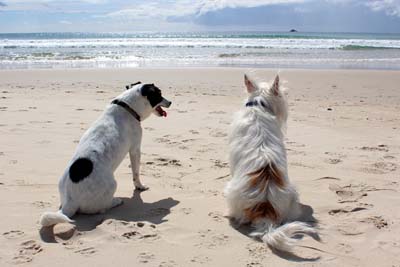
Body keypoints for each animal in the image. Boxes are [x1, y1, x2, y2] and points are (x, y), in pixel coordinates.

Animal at [39, 82, 171, 227]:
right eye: (159, 94)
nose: (171, 102)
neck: (127, 107)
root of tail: (70, 202)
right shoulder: (135, 149)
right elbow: (136, 173)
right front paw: (140, 187)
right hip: (112, 184)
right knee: (102, 208)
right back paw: (116, 201)